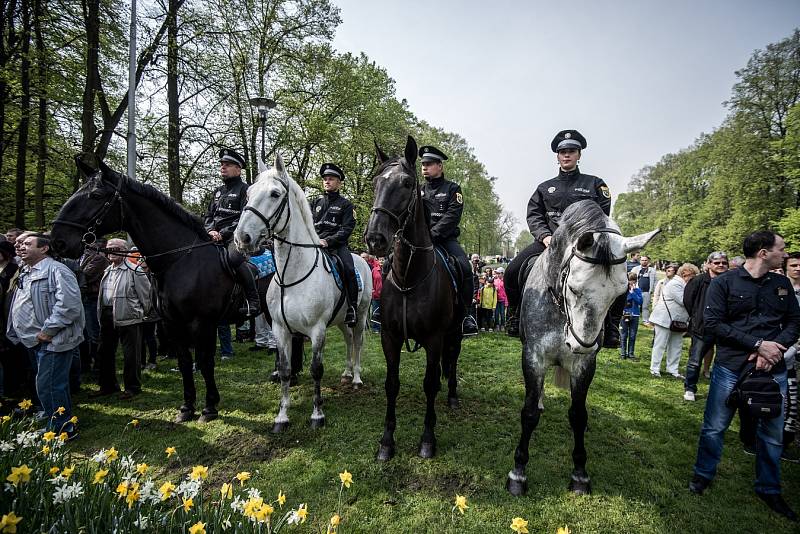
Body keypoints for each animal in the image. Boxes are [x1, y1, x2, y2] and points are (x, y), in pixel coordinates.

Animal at [50, 158, 298, 422]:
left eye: (96, 195)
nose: (58, 241)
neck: (180, 260)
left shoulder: (203, 323)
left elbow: (205, 363)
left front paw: (209, 408)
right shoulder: (172, 324)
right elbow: (184, 362)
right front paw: (187, 407)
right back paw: (283, 374)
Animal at [234, 157, 372, 434]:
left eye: (275, 194)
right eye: (249, 193)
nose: (242, 237)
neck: (292, 276)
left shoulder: (317, 329)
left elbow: (316, 369)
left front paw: (317, 414)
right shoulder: (280, 329)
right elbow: (285, 370)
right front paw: (281, 417)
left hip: (361, 315)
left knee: (358, 341)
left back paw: (356, 378)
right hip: (341, 321)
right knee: (348, 340)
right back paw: (346, 373)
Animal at [364, 135, 462, 460]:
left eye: (407, 183)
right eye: (375, 182)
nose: (375, 239)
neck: (409, 277)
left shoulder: (434, 338)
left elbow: (430, 383)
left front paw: (428, 439)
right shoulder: (390, 336)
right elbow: (391, 384)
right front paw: (386, 441)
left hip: (456, 330)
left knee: (452, 360)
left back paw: (453, 395)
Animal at [506, 202, 656, 498]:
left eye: (619, 294)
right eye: (574, 289)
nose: (579, 345)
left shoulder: (585, 365)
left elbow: (577, 415)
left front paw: (579, 475)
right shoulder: (533, 358)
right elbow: (528, 414)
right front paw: (518, 474)